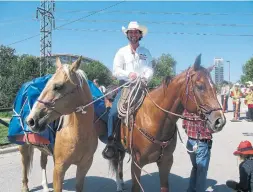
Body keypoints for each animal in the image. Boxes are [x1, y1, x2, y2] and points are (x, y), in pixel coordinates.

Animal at [23, 57, 97, 192]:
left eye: (58, 86)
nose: (31, 121)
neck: (77, 135)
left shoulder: (84, 167)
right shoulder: (59, 168)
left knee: (42, 163)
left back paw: (45, 186)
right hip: (23, 146)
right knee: (24, 164)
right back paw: (25, 187)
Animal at [107, 54, 226, 192]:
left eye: (214, 87)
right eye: (200, 86)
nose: (220, 121)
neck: (154, 120)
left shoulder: (166, 162)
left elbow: (164, 186)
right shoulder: (136, 164)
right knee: (117, 161)